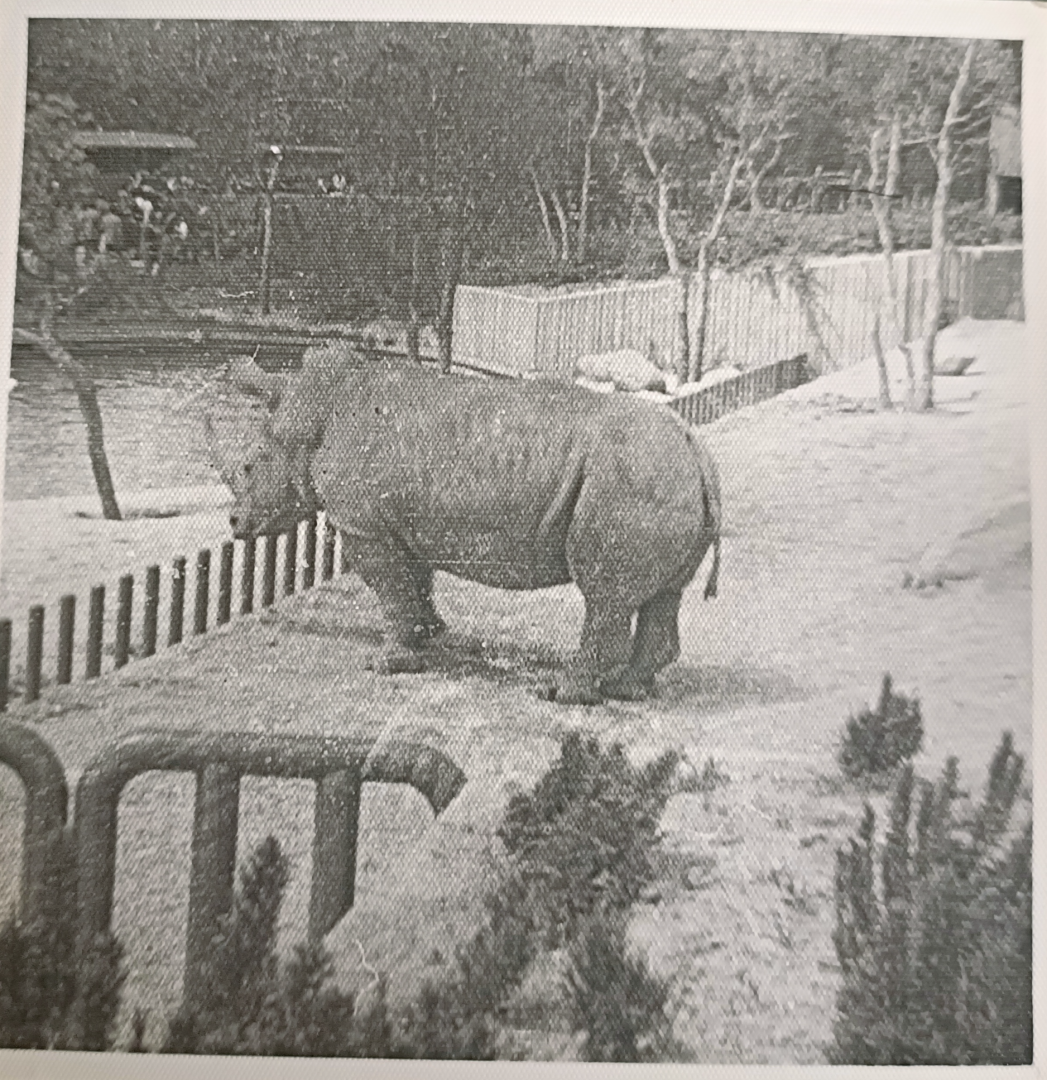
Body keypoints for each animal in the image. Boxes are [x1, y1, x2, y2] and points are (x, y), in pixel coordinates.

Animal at [209, 346, 721, 706]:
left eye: (250, 467)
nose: (234, 521)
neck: (310, 415)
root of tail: (696, 450)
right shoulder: (402, 522)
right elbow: (414, 582)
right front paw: (429, 635)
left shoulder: (364, 525)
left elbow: (390, 589)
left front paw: (383, 664)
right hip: (657, 476)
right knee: (661, 595)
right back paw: (627, 690)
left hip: (626, 481)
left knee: (605, 598)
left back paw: (560, 693)